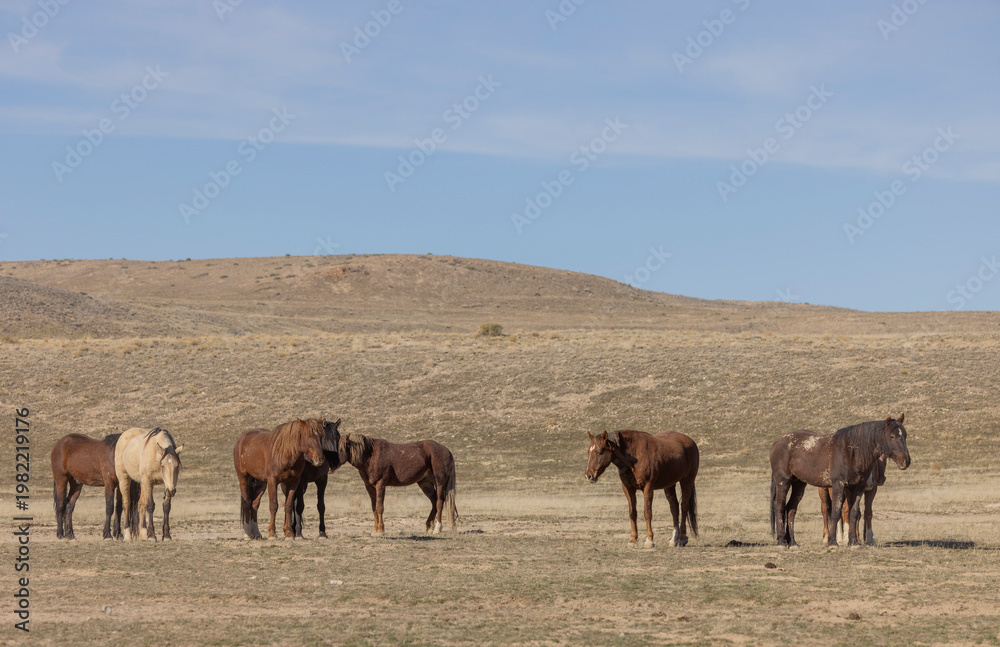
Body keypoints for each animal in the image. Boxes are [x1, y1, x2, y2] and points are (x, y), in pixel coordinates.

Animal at [770, 414, 909, 548]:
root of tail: (777, 442)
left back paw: (792, 542)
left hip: (799, 484)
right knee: (779, 506)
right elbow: (836, 512)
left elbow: (854, 513)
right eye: (892, 436)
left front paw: (854, 542)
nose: (906, 461)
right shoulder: (839, 485)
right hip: (783, 482)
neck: (852, 451)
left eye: (905, 435)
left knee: (791, 508)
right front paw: (833, 542)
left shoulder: (858, 487)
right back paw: (782, 541)